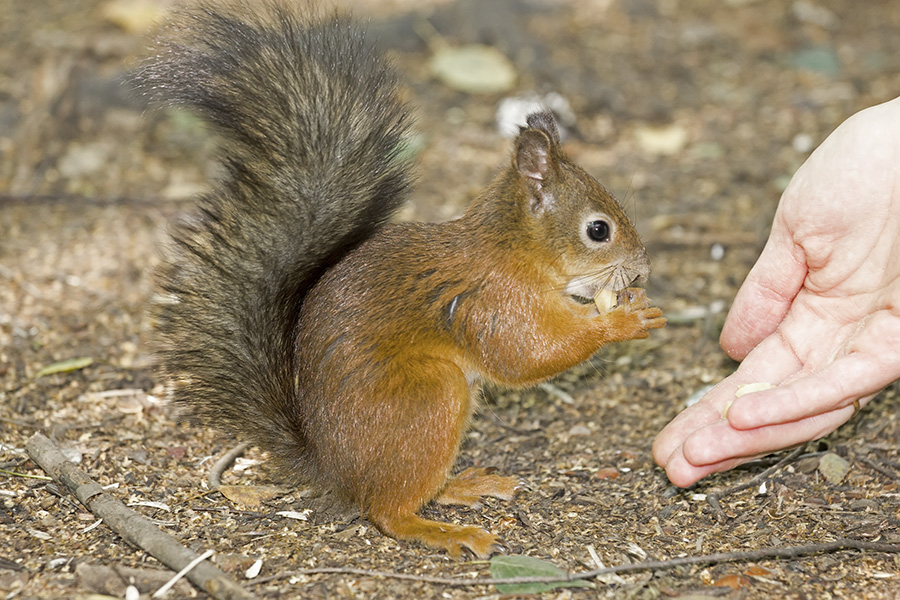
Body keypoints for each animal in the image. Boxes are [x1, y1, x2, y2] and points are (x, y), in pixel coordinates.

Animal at [142, 3, 668, 556]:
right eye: (598, 230)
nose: (643, 269)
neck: (514, 251)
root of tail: (333, 470)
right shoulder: (492, 300)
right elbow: (525, 356)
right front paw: (623, 322)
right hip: (429, 399)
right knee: (387, 512)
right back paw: (445, 531)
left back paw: (464, 486)